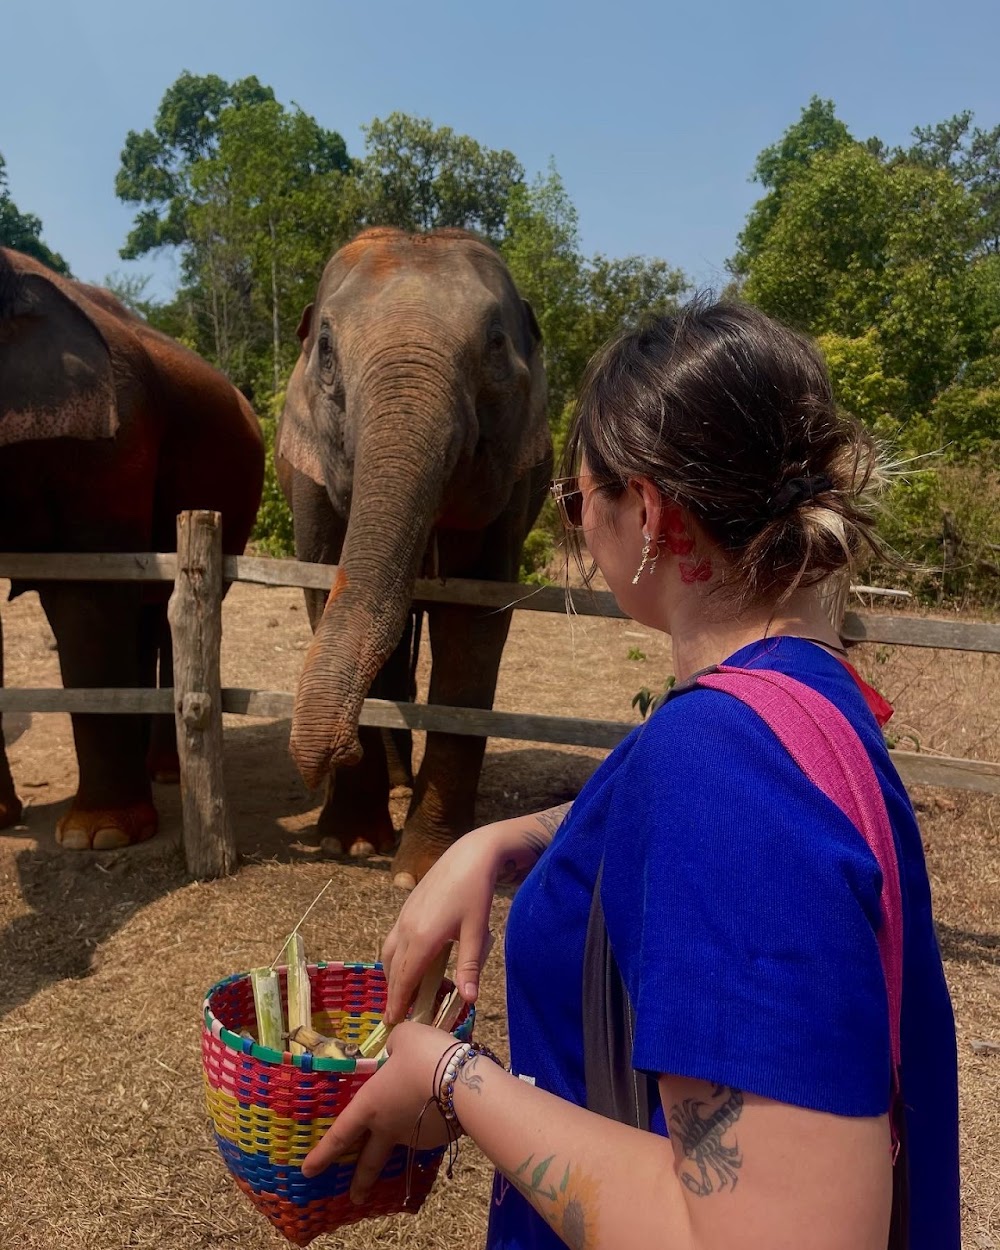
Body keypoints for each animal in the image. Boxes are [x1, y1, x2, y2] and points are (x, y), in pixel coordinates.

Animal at [277, 227, 550, 890]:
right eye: (326, 349)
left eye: (496, 343)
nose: (341, 746)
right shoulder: (308, 478)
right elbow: (323, 592)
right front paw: (349, 844)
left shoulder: (512, 486)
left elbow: (474, 630)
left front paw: (418, 873)